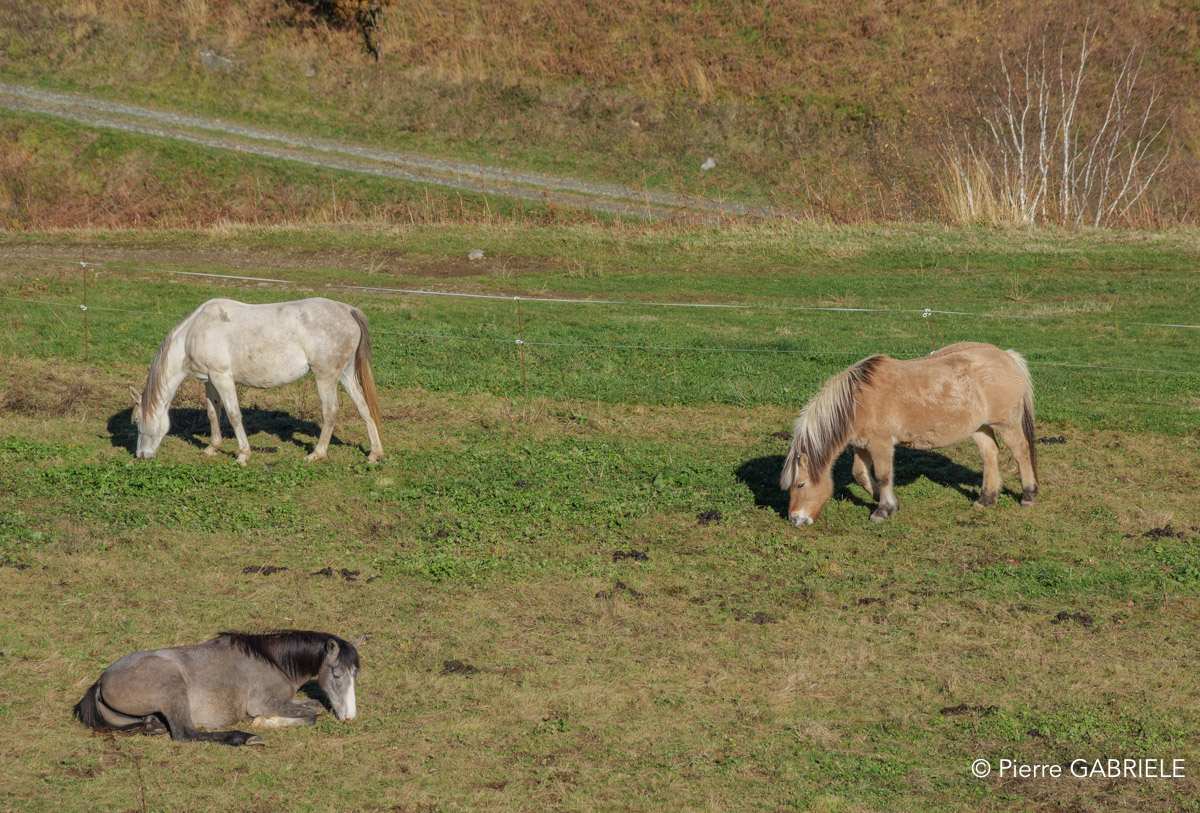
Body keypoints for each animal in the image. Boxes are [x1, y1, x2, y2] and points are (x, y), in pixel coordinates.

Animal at [76, 630, 364, 746]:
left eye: (356, 674)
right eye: (336, 674)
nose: (350, 716)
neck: (273, 661)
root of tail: (101, 681)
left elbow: (314, 706)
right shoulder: (266, 703)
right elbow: (311, 715)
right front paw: (263, 723)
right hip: (172, 690)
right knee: (186, 734)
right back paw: (245, 738)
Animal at [129, 297, 384, 466]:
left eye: (138, 422)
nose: (141, 456)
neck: (195, 332)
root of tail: (347, 310)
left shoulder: (222, 376)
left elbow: (233, 415)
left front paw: (243, 454)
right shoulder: (209, 380)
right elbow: (213, 413)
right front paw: (212, 448)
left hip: (326, 376)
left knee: (330, 412)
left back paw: (317, 454)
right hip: (346, 375)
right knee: (364, 408)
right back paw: (375, 453)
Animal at [780, 342, 1039, 526]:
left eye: (801, 484)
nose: (795, 519)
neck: (857, 402)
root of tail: (1008, 356)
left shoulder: (881, 444)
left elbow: (883, 476)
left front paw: (883, 510)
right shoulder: (862, 444)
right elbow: (860, 474)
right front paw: (881, 499)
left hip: (1006, 423)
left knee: (1021, 452)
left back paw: (1028, 495)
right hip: (978, 427)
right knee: (990, 454)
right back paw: (986, 499)